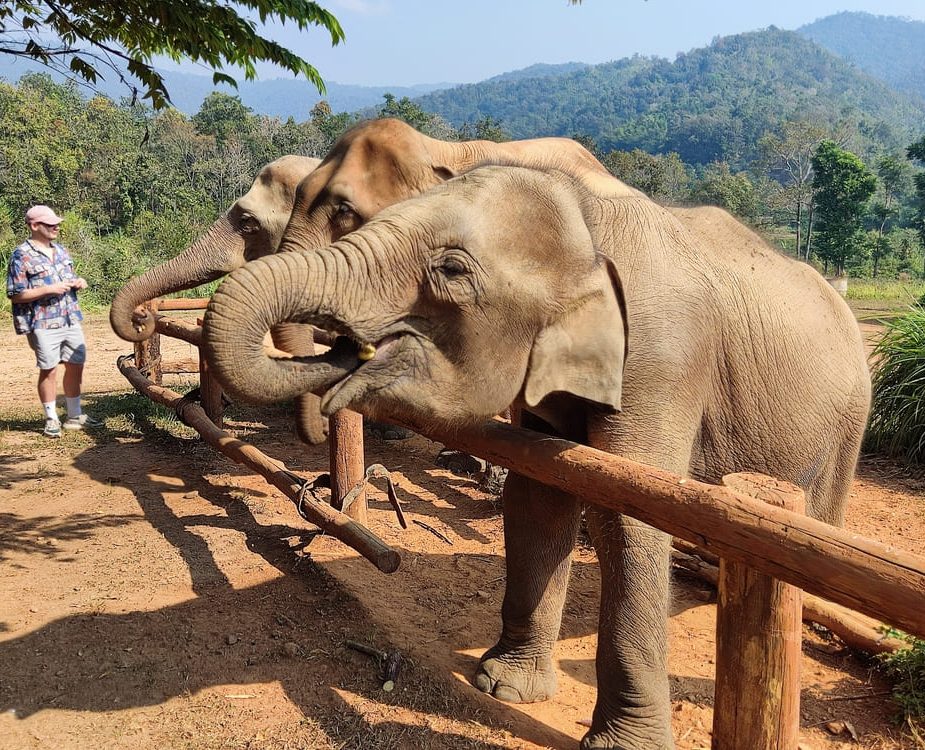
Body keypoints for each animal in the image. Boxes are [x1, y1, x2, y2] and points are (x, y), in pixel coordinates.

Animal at [200, 163, 871, 749]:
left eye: (451, 269)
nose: (344, 353)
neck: (591, 218)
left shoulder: (665, 357)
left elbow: (628, 517)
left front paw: (621, 744)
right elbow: (541, 490)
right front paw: (503, 686)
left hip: (849, 422)